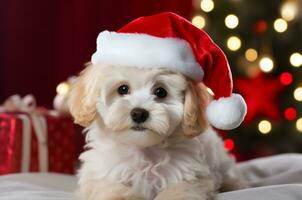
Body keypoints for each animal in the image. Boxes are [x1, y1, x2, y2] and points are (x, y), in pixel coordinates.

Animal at [68, 63, 248, 200]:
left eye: (160, 92)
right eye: (123, 89)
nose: (139, 113)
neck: (144, 150)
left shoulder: (191, 174)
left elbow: (182, 188)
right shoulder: (99, 174)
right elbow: (108, 186)